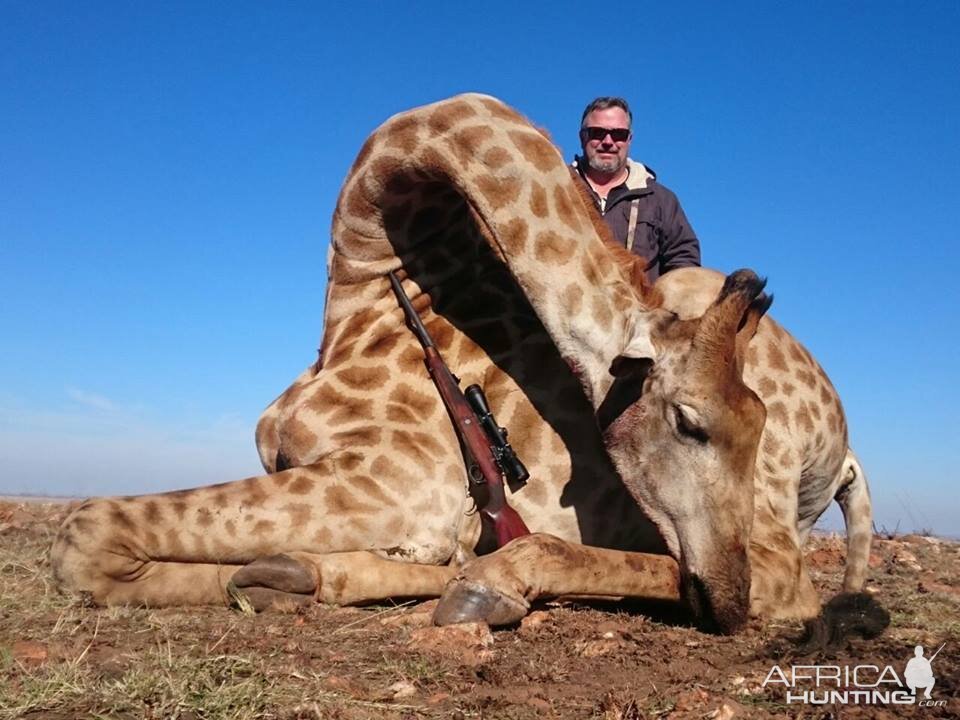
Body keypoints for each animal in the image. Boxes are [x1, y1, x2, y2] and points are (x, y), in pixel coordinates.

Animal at [50, 93, 872, 632]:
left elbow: (88, 534)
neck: (360, 290)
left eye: (745, 424)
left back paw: (480, 583)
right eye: (688, 422)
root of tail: (838, 440)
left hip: (768, 528)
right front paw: (277, 576)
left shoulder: (388, 482)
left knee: (787, 582)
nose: (726, 603)